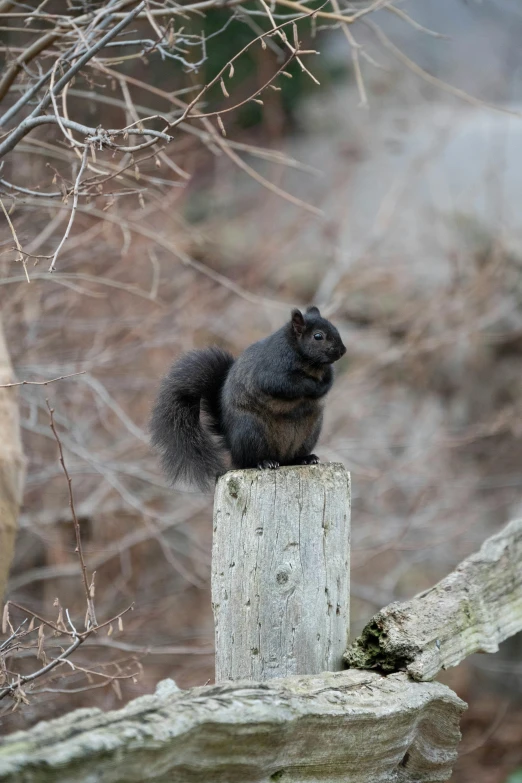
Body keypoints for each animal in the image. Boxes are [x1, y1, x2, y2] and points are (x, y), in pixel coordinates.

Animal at [149, 306, 346, 490]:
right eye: (318, 336)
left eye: (335, 328)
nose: (342, 351)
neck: (312, 365)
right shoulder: (272, 370)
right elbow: (286, 384)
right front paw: (313, 386)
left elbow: (329, 380)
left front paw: (323, 386)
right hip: (251, 432)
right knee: (249, 461)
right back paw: (265, 462)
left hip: (309, 434)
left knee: (293, 457)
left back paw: (306, 458)